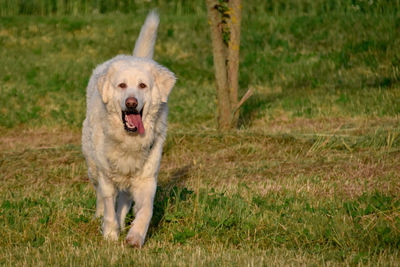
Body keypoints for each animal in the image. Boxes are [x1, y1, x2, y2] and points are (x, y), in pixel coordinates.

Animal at [81, 11, 175, 248]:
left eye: (142, 85)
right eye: (122, 85)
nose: (131, 103)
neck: (129, 140)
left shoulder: (147, 179)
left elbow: (146, 210)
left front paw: (135, 236)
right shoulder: (106, 176)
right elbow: (107, 203)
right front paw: (110, 234)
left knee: (124, 200)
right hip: (93, 166)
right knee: (100, 196)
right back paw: (101, 218)